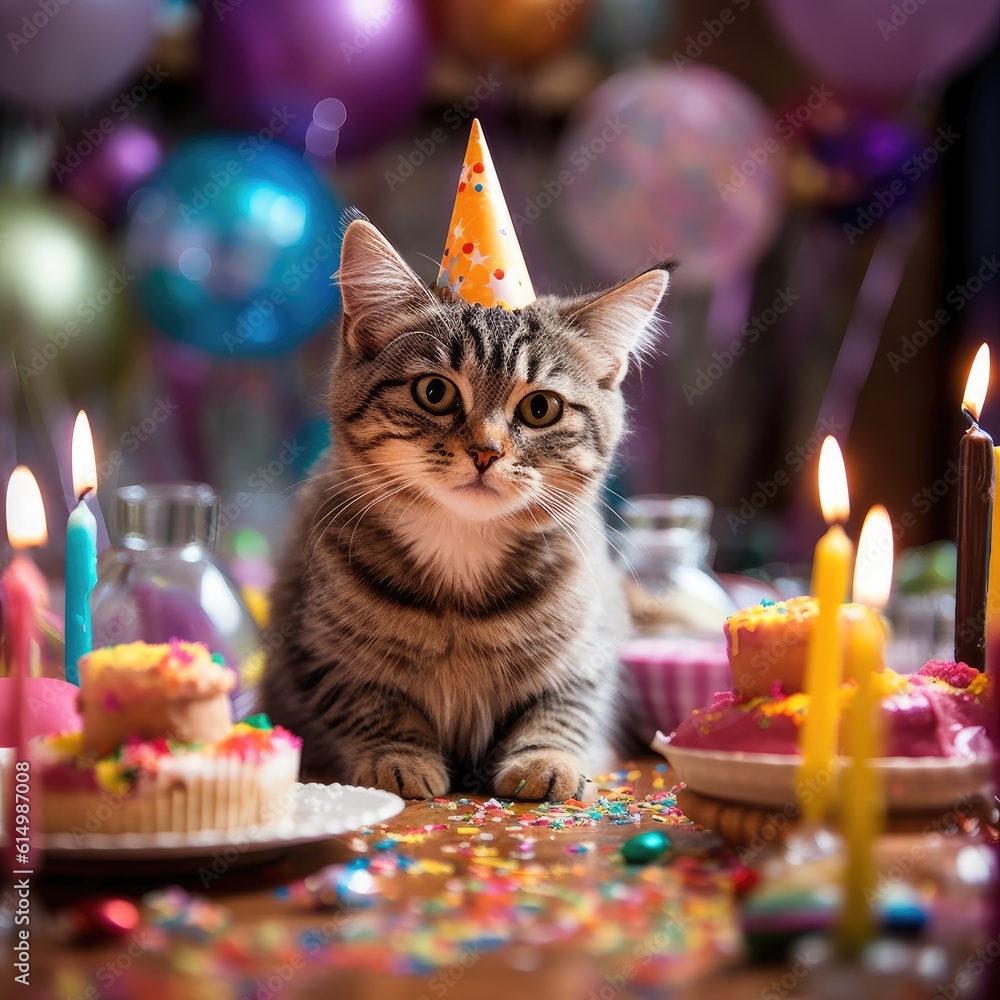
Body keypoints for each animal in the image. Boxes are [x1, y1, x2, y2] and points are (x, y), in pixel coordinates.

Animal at [262, 223, 672, 800]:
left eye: (540, 408)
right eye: (434, 391)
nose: (486, 451)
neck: (461, 548)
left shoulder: (591, 641)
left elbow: (565, 703)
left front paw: (546, 758)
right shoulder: (315, 649)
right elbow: (369, 701)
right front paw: (399, 757)